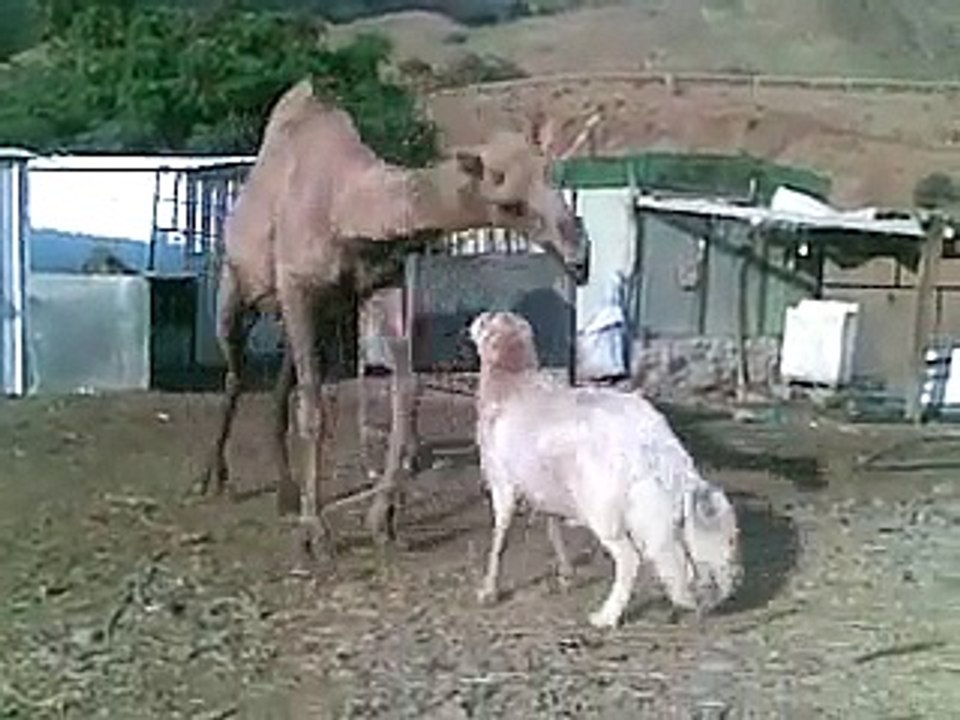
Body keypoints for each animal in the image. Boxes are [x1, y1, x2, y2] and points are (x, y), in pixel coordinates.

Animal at [193, 76, 591, 557]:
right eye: (509, 203)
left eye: (553, 177)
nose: (580, 258)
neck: (346, 210)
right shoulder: (297, 285)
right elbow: (315, 410)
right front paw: (316, 533)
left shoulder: (380, 285)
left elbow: (406, 391)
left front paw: (383, 519)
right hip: (236, 289)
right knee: (235, 372)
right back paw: (212, 480)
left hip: (309, 314)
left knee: (280, 387)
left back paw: (286, 494)